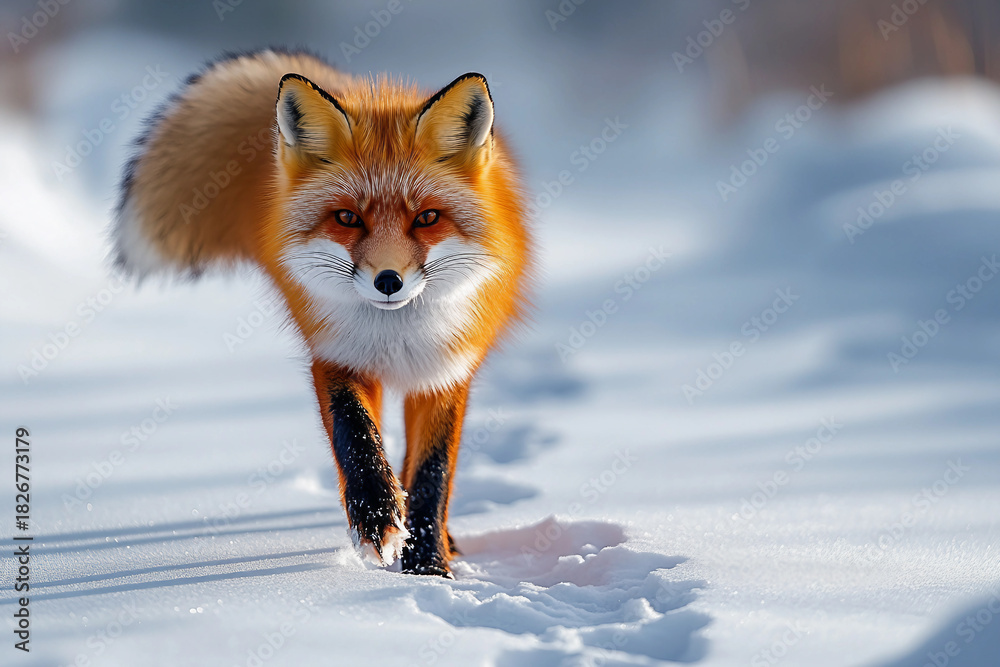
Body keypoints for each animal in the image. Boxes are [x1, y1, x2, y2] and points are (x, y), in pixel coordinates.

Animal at [112, 48, 532, 577]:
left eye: (427, 218)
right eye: (348, 218)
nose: (388, 281)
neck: (396, 337)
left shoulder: (445, 372)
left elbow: (432, 475)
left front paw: (428, 566)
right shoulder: (335, 356)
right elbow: (356, 440)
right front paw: (376, 518)